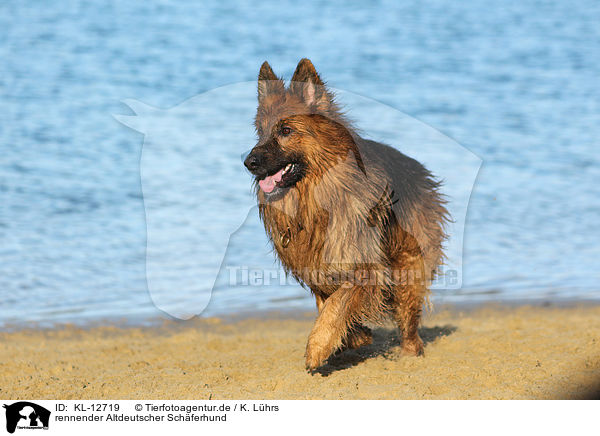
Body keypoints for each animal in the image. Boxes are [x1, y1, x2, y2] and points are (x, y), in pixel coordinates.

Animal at [245, 58, 450, 372]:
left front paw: (318, 347)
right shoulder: (313, 265)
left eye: (286, 131)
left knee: (409, 320)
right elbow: (327, 302)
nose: (249, 162)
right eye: (260, 130)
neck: (313, 201)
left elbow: (337, 303)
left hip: (407, 265)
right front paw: (355, 336)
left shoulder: (365, 266)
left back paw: (409, 352)